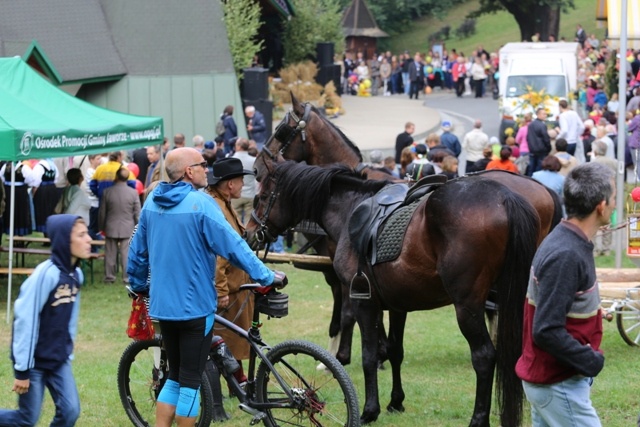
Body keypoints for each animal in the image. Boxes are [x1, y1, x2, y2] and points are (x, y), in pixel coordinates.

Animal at [248, 161, 544, 427]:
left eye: (261, 197)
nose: (251, 234)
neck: (350, 211)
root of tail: (504, 197)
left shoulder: (364, 303)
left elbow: (369, 356)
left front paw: (370, 411)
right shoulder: (398, 305)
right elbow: (394, 351)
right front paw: (395, 402)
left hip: (467, 307)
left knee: (483, 357)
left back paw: (477, 420)